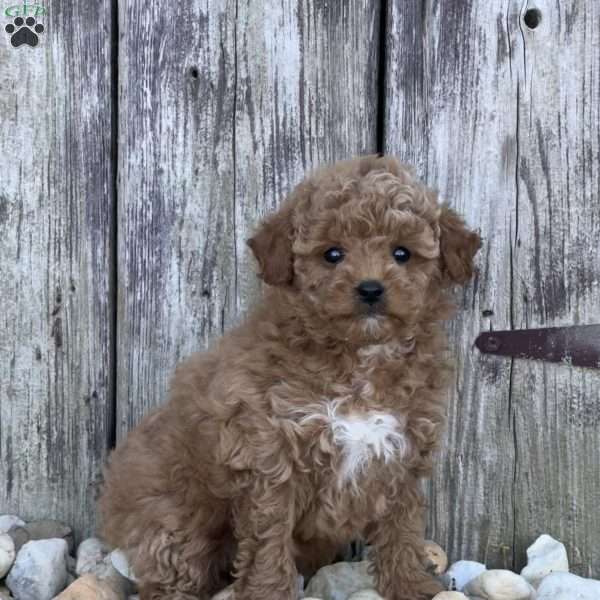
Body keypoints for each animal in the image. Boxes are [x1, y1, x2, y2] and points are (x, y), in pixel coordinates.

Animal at [101, 156, 480, 600]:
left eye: (402, 253)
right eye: (332, 254)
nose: (370, 289)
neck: (359, 358)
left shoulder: (403, 454)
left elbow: (401, 530)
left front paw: (411, 586)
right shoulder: (269, 458)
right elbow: (269, 543)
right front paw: (268, 592)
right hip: (174, 522)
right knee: (173, 571)